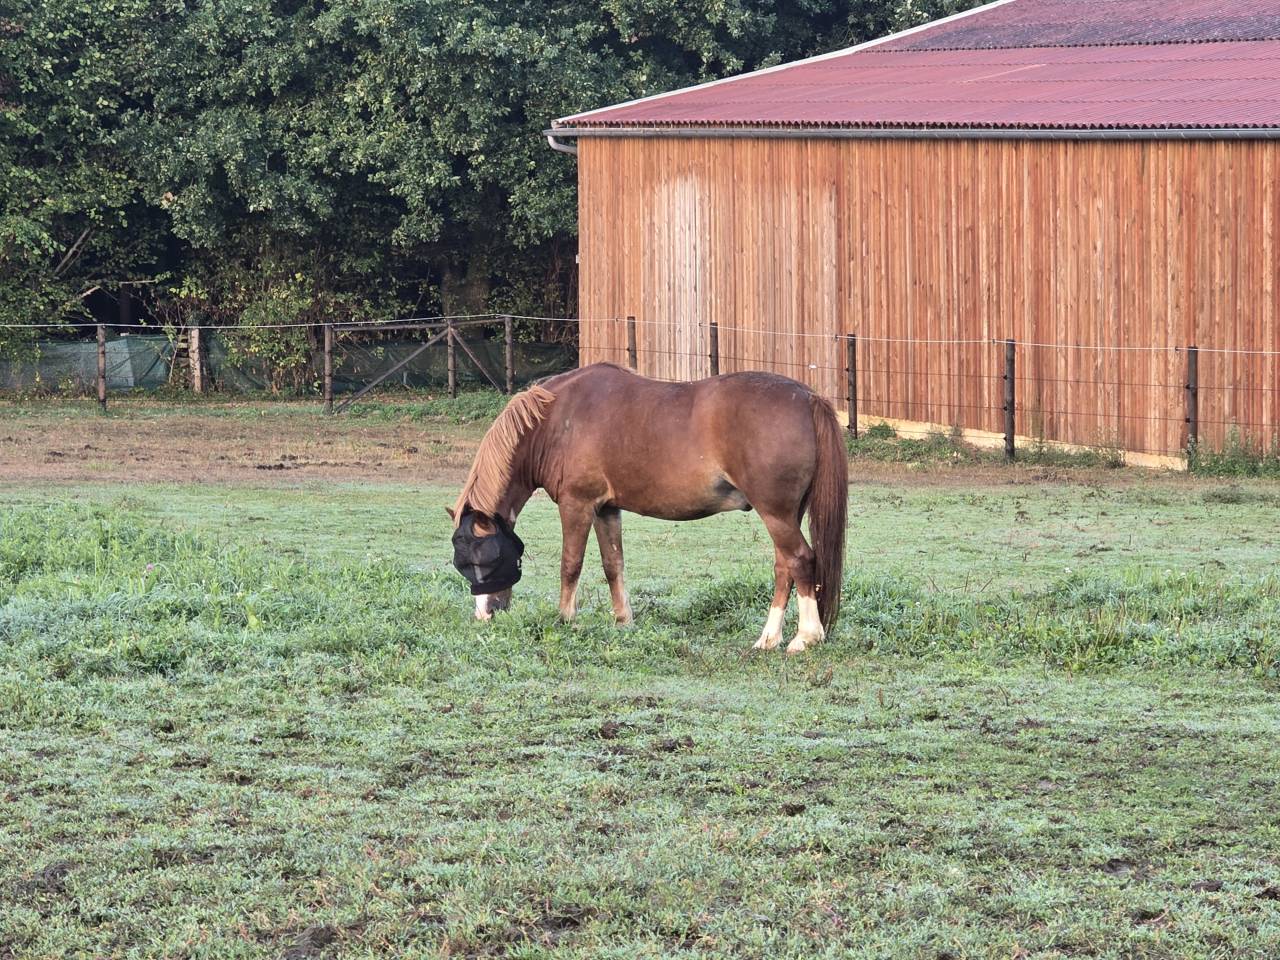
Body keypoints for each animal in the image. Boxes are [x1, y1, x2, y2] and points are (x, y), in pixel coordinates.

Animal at [448, 362, 847, 654]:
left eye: (487, 558)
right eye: (462, 563)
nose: (485, 614)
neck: (557, 420)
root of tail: (807, 397)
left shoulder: (577, 504)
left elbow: (570, 565)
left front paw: (566, 619)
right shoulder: (606, 508)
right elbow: (613, 565)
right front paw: (623, 621)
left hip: (775, 513)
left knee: (801, 561)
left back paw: (805, 637)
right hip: (785, 514)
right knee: (784, 567)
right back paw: (768, 638)